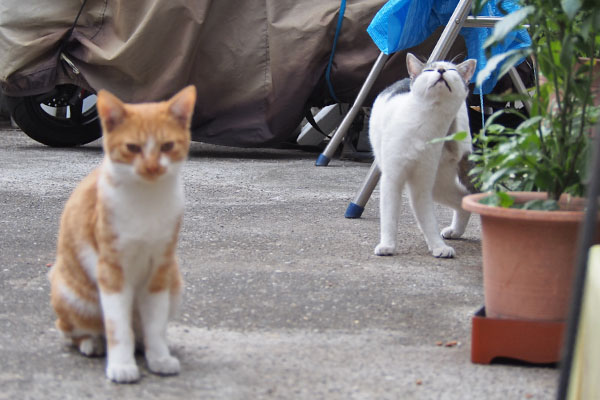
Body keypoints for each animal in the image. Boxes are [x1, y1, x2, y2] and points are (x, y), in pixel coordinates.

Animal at [48, 86, 197, 382]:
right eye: (133, 148)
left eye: (167, 146)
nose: (152, 167)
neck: (146, 200)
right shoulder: (111, 269)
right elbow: (117, 327)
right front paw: (121, 365)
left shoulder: (160, 268)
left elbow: (155, 324)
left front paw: (159, 357)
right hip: (71, 293)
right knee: (72, 330)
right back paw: (92, 343)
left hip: (175, 284)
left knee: (140, 329)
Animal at [368, 53, 476, 258]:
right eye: (429, 70)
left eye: (451, 69)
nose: (441, 70)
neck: (426, 124)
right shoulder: (392, 179)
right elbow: (389, 216)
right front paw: (387, 245)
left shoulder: (422, 184)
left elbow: (428, 220)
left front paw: (438, 246)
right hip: (439, 185)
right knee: (463, 198)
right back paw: (455, 231)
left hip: (438, 183)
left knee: (465, 196)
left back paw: (455, 231)